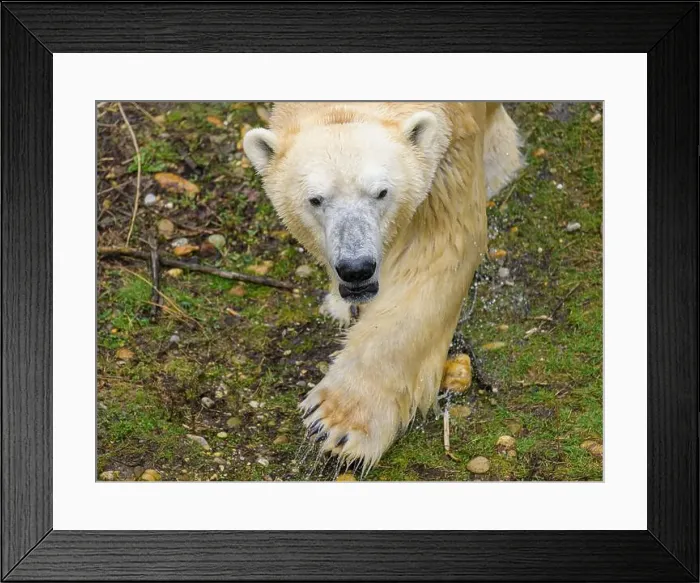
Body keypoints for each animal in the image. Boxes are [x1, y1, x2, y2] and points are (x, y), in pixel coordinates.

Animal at [244, 102, 523, 472]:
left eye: (381, 192)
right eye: (315, 199)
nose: (356, 269)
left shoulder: (449, 158)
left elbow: (436, 254)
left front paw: (335, 423)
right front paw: (342, 305)